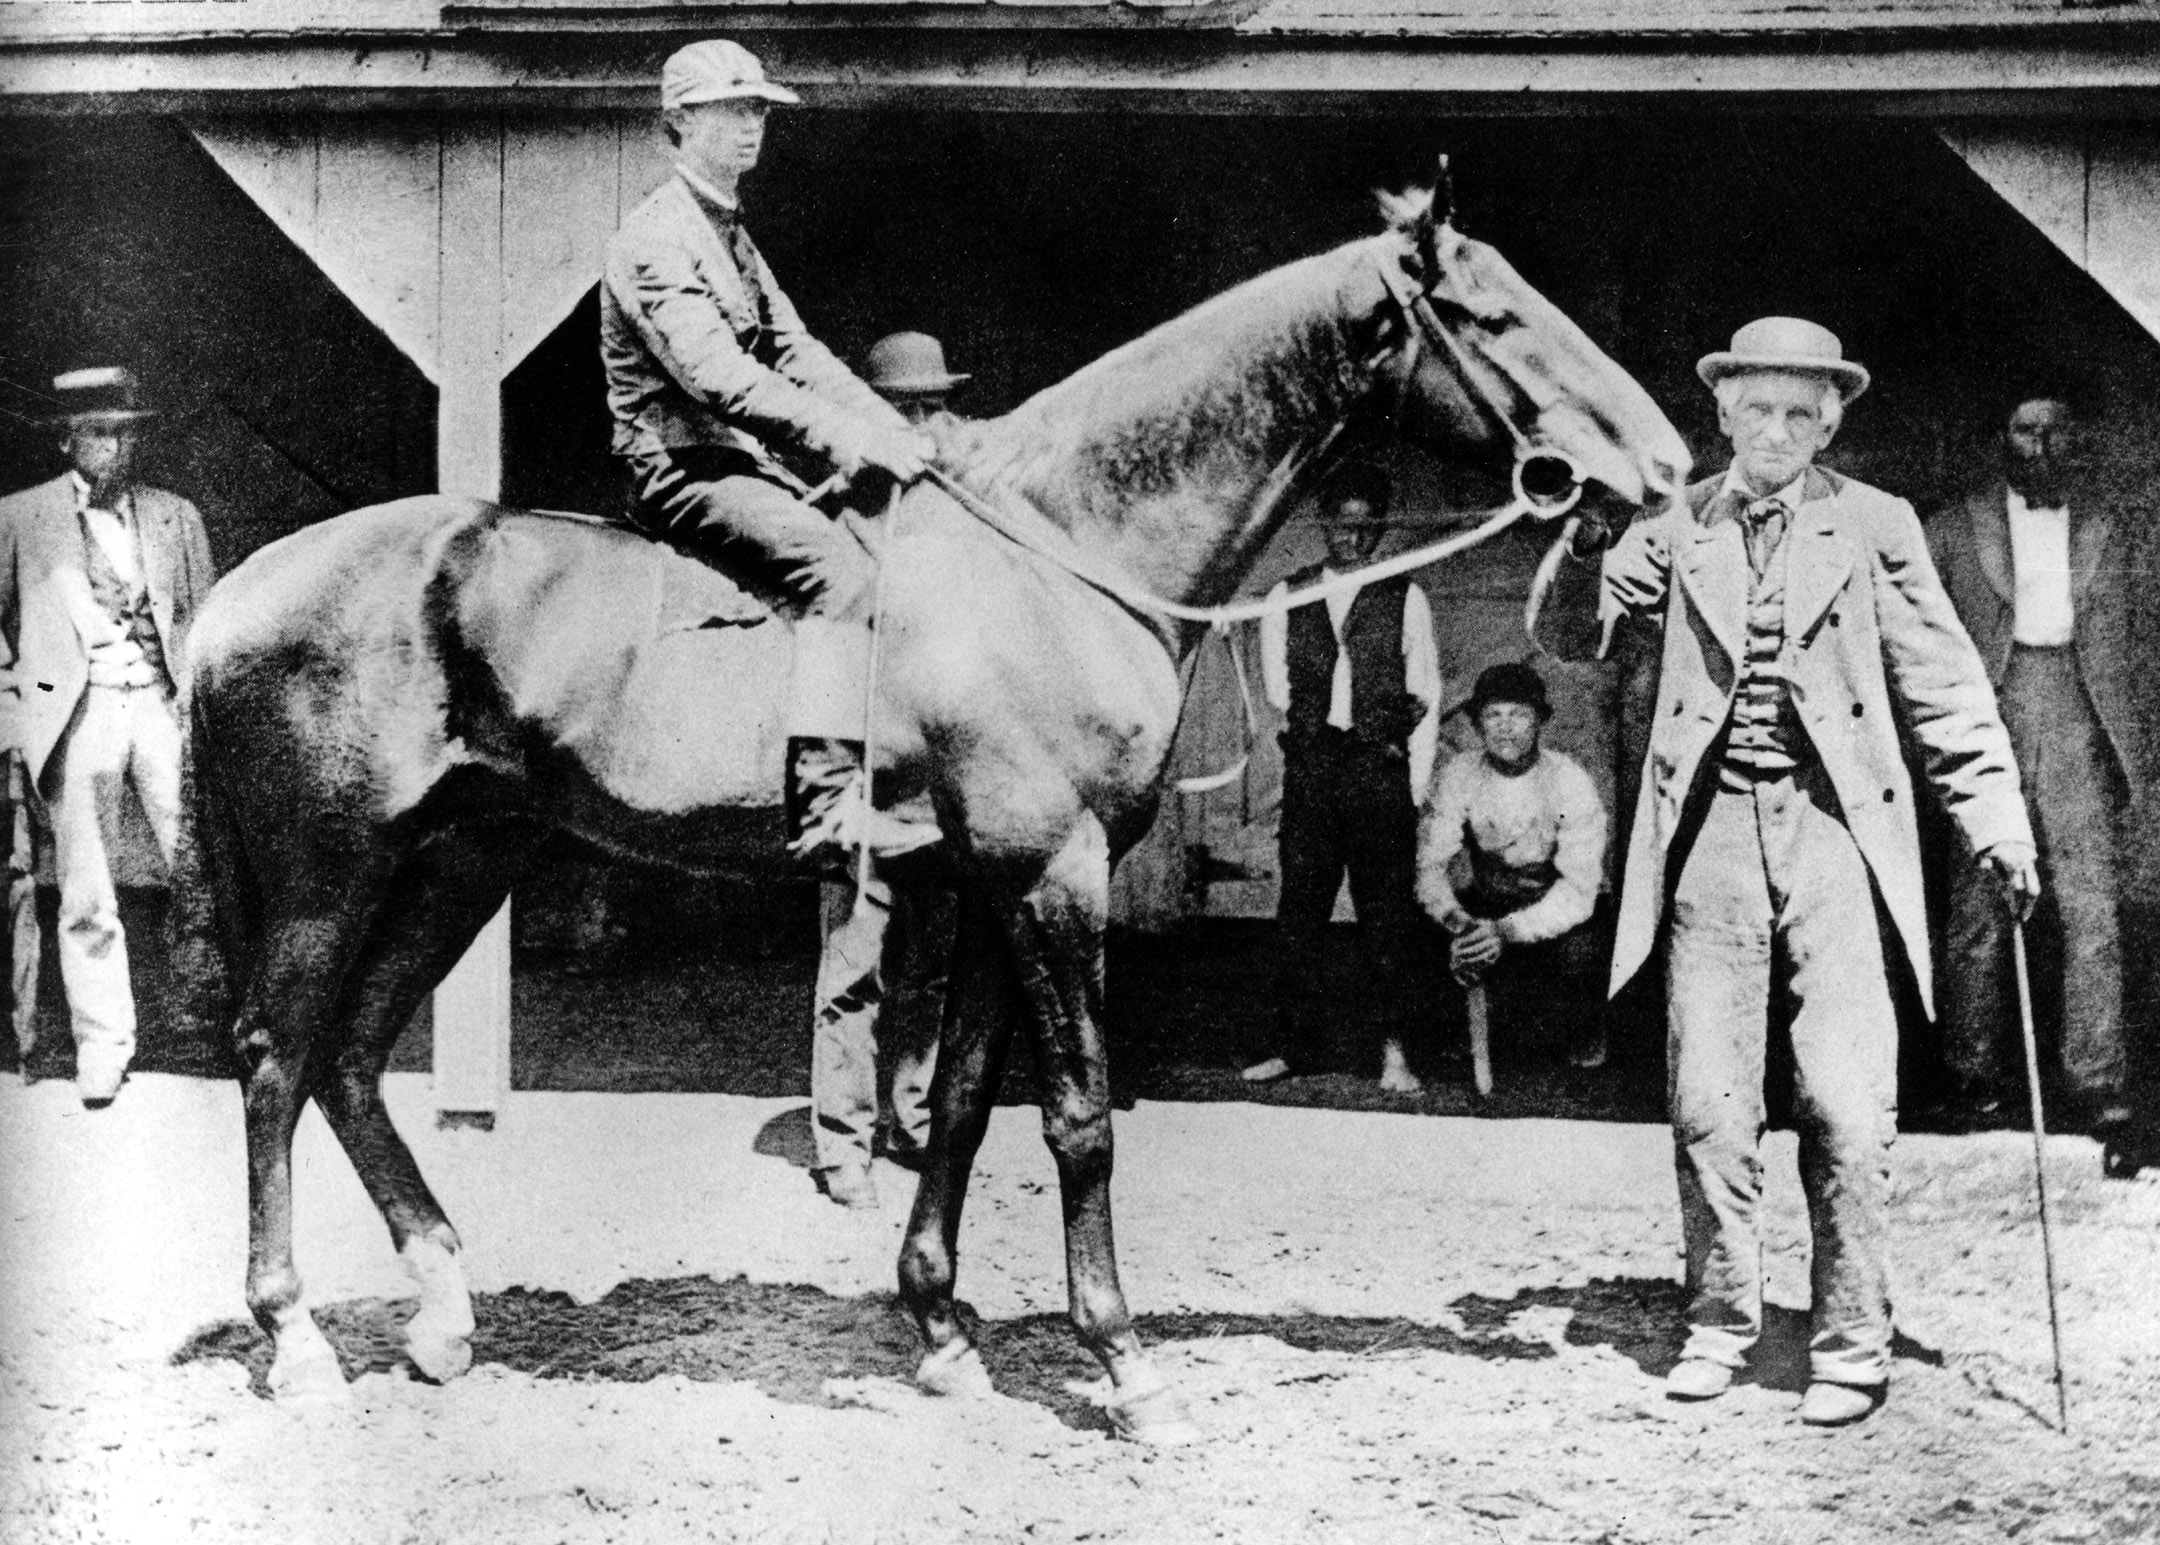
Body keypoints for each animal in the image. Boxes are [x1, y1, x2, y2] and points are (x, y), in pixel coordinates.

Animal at [177, 175, 1684, 1443]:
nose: (1664, 470)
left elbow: (960, 1101)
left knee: (352, 1059)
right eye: (1492, 315)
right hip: (330, 877)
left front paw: (943, 1329)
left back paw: (442, 1312)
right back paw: (296, 1340)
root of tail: (238, 593)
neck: (1060, 555)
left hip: (459, 862)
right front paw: (1123, 1365)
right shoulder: (1052, 876)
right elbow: (1079, 1114)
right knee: (274, 1060)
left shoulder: (989, 884)